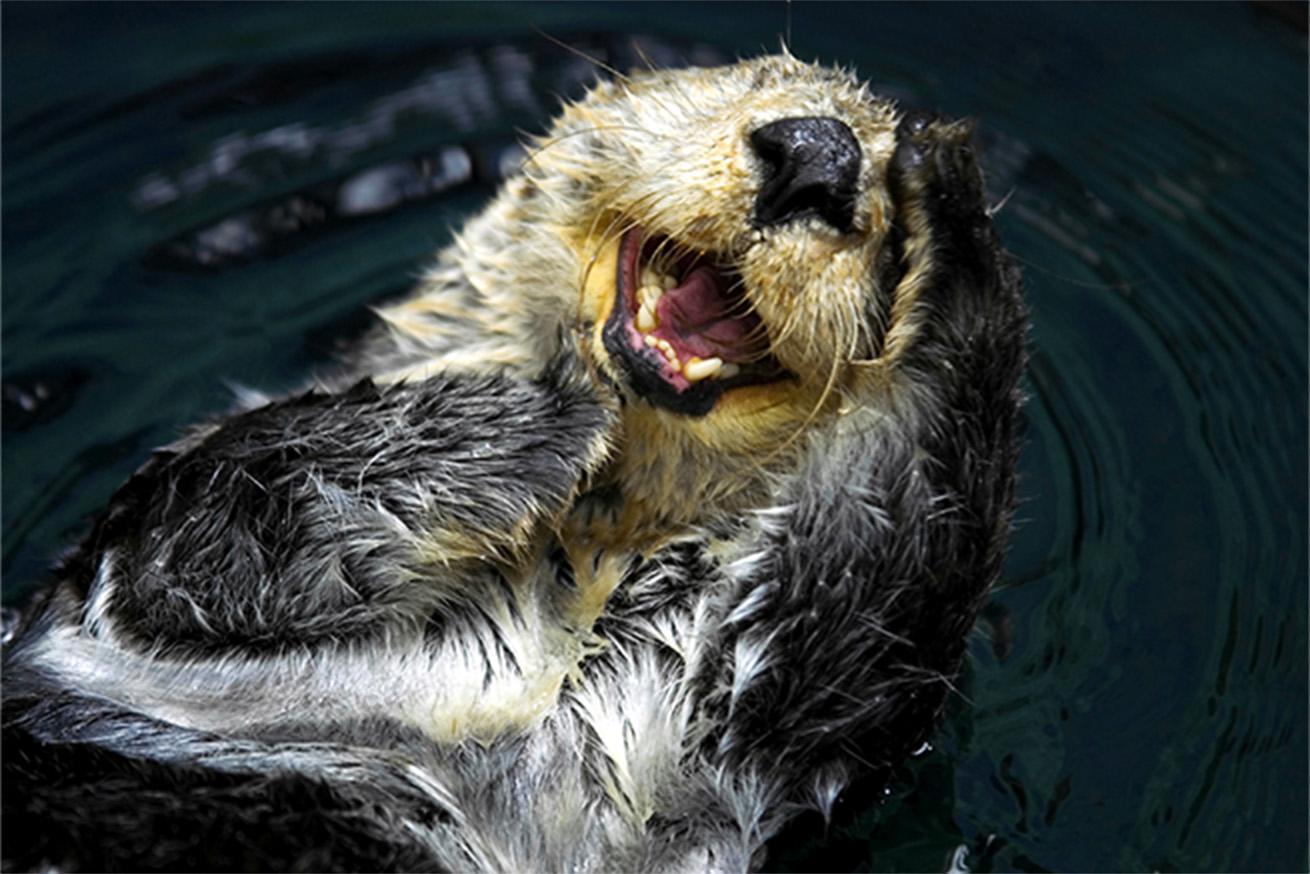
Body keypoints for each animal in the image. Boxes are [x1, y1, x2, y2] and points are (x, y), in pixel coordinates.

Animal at [0, 54, 1027, 874]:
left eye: (885, 221)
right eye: (755, 80)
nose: (819, 155)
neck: (572, 564)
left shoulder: (684, 759)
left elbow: (864, 589)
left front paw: (952, 206)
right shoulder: (131, 562)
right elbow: (213, 516)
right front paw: (552, 410)